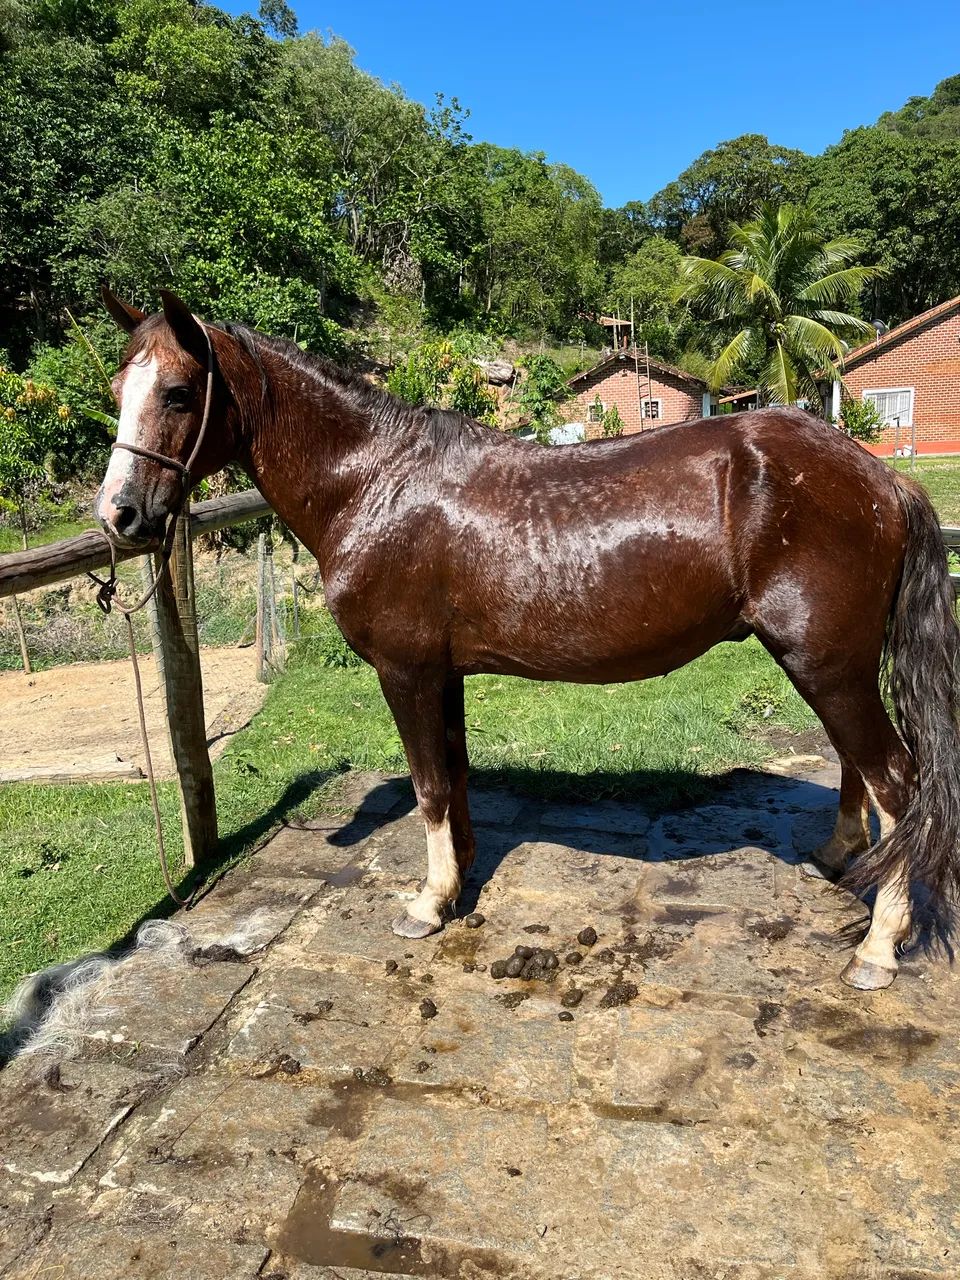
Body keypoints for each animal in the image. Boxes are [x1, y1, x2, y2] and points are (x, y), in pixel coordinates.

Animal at [96, 287, 960, 992]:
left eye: (178, 391)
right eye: (116, 391)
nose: (119, 515)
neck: (375, 484)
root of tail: (884, 479)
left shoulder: (405, 671)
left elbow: (428, 784)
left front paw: (425, 905)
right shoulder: (442, 674)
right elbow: (454, 775)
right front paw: (458, 880)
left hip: (826, 663)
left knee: (895, 780)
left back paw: (878, 947)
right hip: (828, 663)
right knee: (859, 768)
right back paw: (842, 859)